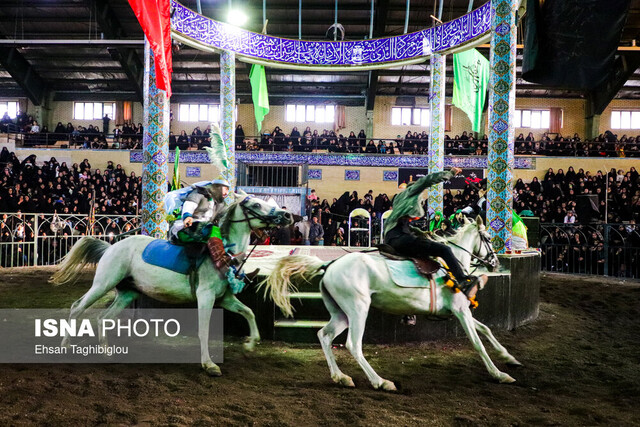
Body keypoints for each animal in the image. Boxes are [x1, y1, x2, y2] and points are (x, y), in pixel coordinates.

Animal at [53, 192, 294, 376]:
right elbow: (204, 330)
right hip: (103, 284)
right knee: (77, 308)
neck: (223, 254)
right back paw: (65, 345)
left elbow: (249, 312)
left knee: (104, 318)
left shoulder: (225, 298)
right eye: (256, 204)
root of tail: (110, 247)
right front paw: (209, 364)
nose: (286, 215)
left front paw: (250, 344)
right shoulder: (205, 297)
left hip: (127, 294)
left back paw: (107, 352)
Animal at [262, 217, 524, 392]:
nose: (495, 262)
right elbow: (478, 343)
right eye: (487, 238)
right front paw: (499, 374)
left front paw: (509, 358)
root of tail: (330, 265)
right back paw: (380, 381)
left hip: (342, 315)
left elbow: (486, 329)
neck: (452, 267)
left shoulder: (460, 311)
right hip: (358, 310)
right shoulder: (460, 312)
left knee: (324, 336)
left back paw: (341, 377)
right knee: (353, 345)